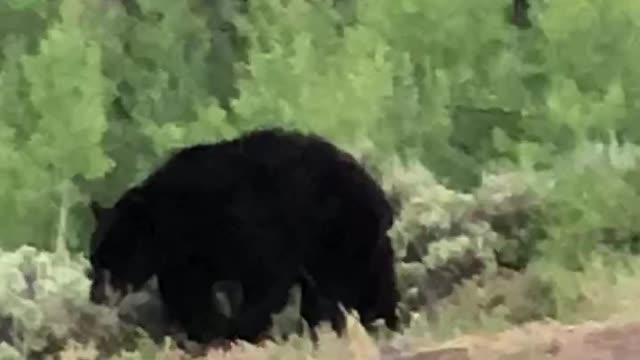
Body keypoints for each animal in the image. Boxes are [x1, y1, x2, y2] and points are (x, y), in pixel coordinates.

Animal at [89, 128, 400, 344]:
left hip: (337, 235)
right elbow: (188, 294)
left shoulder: (249, 223)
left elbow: (267, 278)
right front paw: (209, 331)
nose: (96, 297)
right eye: (94, 258)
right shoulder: (185, 258)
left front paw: (240, 329)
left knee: (346, 286)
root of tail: (378, 192)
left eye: (111, 258)